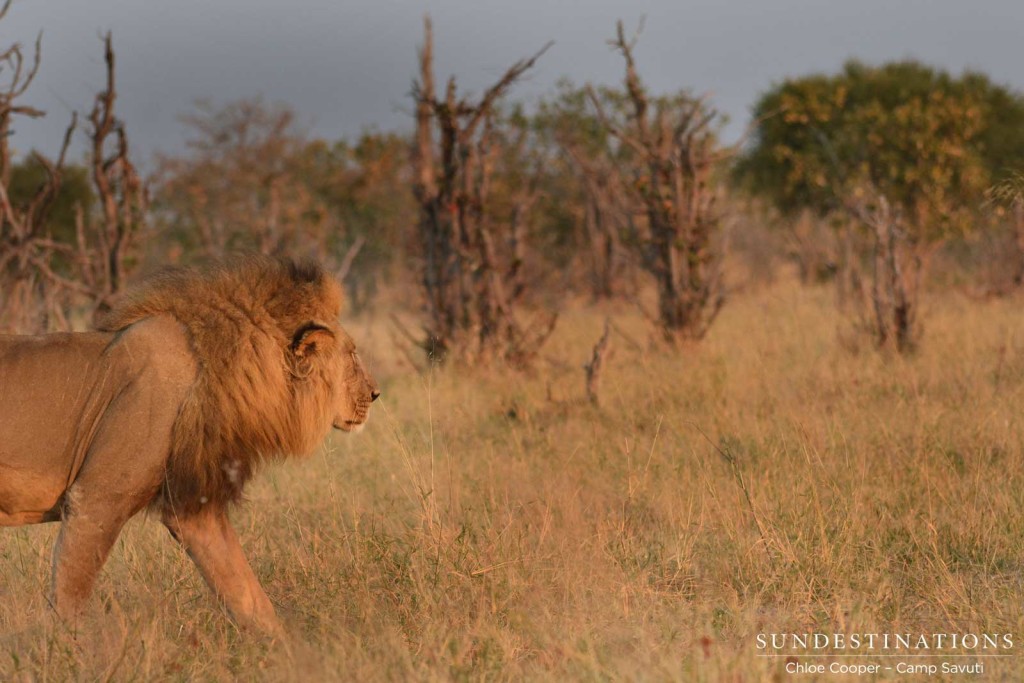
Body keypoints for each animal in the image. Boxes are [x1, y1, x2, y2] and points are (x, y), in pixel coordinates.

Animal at [0, 255, 378, 634]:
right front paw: (65, 647)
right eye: (353, 355)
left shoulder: (195, 506)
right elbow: (70, 594)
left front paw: (285, 646)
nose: (376, 394)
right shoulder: (96, 498)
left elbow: (245, 591)